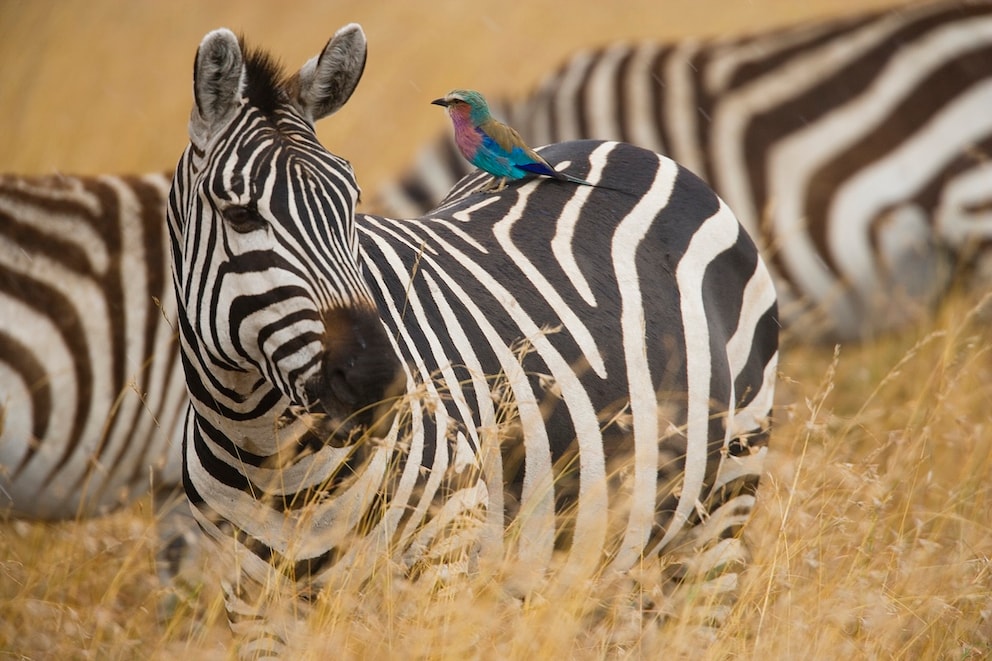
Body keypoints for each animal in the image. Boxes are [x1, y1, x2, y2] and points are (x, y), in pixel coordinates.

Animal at [168, 24, 778, 656]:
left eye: (351, 205)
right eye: (240, 215)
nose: (380, 381)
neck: (272, 453)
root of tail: (632, 149)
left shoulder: (444, 555)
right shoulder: (252, 600)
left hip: (726, 493)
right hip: (612, 544)